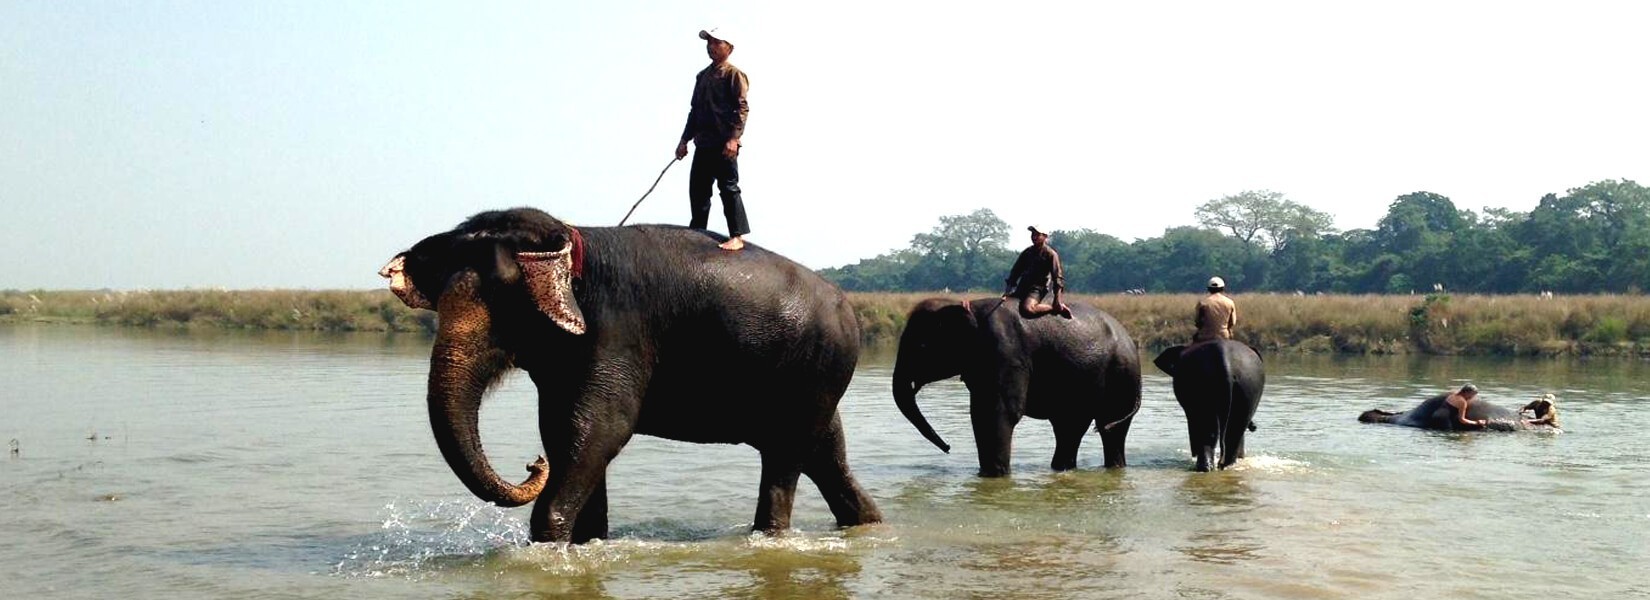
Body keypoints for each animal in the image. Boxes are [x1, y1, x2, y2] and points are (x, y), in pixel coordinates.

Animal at [379, 207, 884, 543]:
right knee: (826, 455)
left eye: (504, 304)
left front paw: (548, 541)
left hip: (818, 371)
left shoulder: (618, 329)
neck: (570, 238)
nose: (532, 464)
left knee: (785, 460)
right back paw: (869, 524)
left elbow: (600, 429)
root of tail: (851, 310)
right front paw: (588, 542)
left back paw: (769, 538)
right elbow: (563, 432)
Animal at [891, 298, 1148, 474]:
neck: (969, 307)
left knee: (1110, 429)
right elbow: (980, 412)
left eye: (921, 346)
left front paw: (994, 476)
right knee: (1069, 428)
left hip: (1122, 376)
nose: (948, 447)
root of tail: (1131, 340)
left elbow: (998, 412)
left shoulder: (1006, 354)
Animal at [1155, 339, 1267, 471]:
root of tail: (1225, 363)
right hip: (1247, 385)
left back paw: (1207, 467)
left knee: (1210, 427)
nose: (1254, 427)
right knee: (1233, 430)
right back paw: (1223, 466)